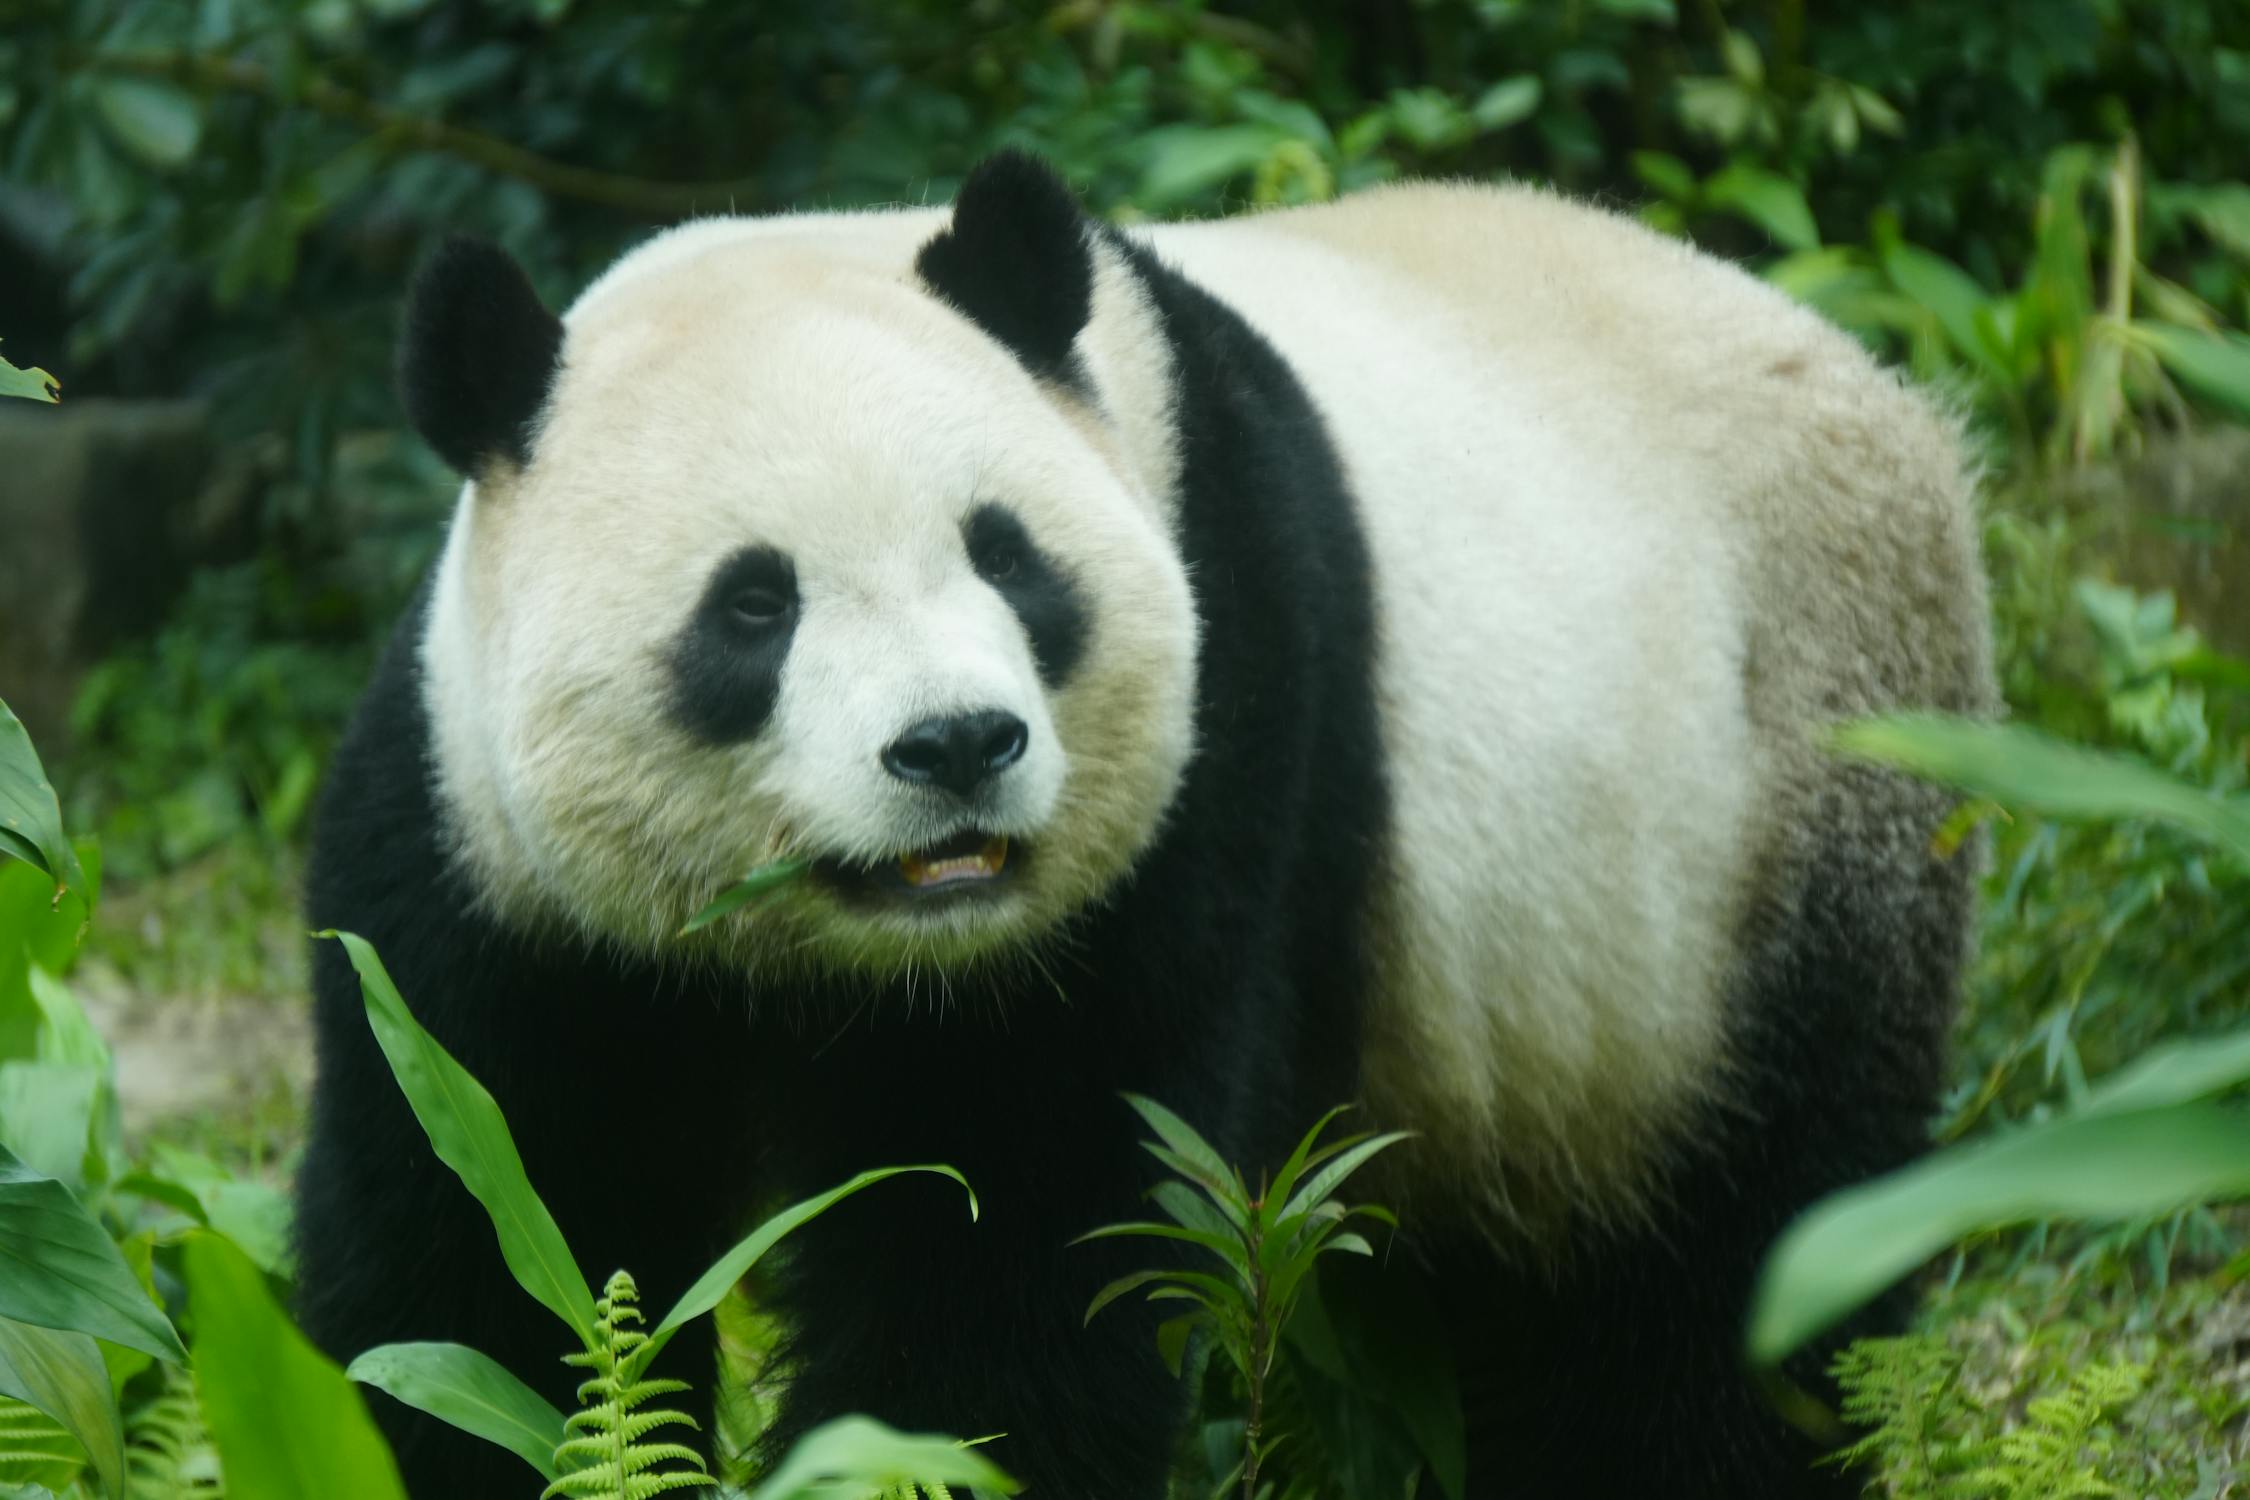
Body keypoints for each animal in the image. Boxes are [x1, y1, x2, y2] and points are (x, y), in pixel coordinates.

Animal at [293, 151, 1993, 1499]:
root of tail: (1884, 391)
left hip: (1779, 816)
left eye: (1007, 557)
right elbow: (472, 1242)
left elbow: (1018, 1265)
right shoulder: (493, 875)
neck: (842, 958)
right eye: (754, 604)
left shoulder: (1213, 751)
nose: (957, 745)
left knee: (1733, 1272)